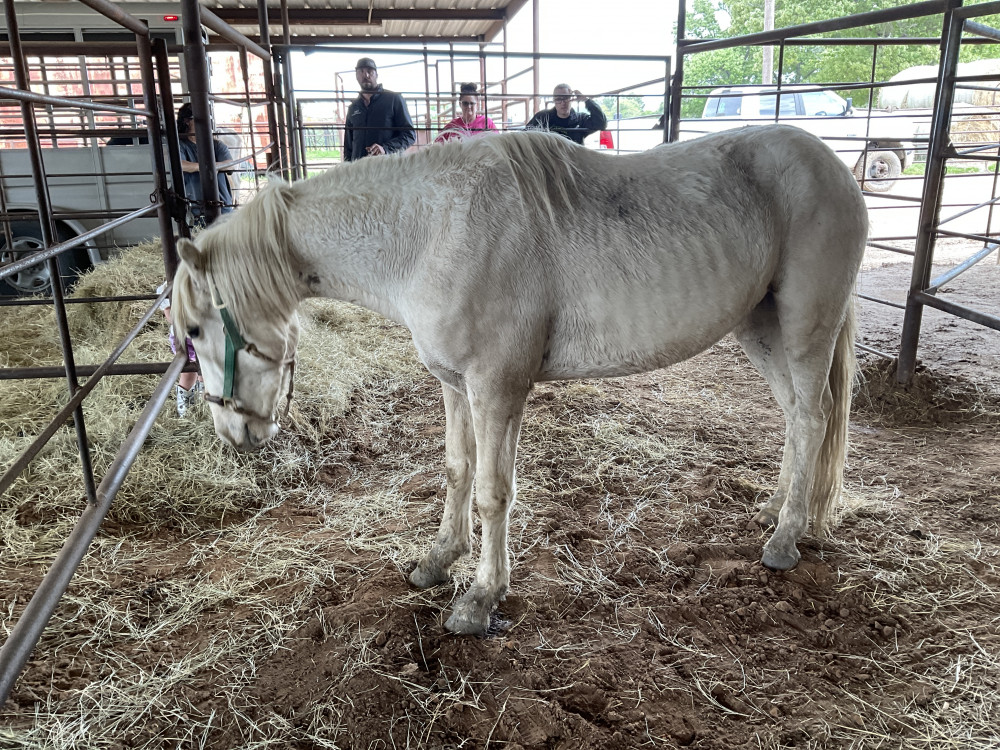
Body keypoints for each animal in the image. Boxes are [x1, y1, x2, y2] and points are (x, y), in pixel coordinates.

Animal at [171, 125, 868, 636]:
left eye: (198, 331)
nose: (231, 431)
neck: (433, 232)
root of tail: (833, 166)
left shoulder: (497, 388)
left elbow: (492, 492)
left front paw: (480, 597)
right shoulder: (456, 385)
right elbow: (457, 470)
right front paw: (439, 559)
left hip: (803, 327)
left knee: (812, 417)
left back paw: (785, 539)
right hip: (760, 327)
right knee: (797, 418)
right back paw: (780, 509)